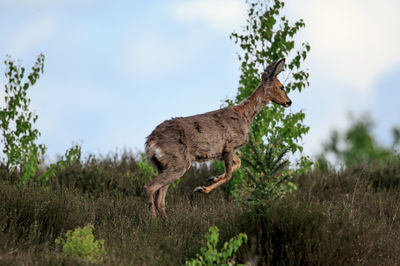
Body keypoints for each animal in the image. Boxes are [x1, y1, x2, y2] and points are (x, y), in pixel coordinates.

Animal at [143, 58, 290, 218]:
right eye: (282, 87)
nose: (289, 102)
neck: (245, 115)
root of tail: (150, 143)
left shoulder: (224, 151)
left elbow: (238, 163)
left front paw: (212, 178)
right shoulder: (230, 145)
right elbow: (229, 175)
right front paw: (202, 189)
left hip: (165, 165)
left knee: (160, 199)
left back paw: (167, 221)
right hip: (178, 162)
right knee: (149, 187)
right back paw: (153, 221)